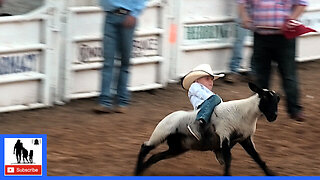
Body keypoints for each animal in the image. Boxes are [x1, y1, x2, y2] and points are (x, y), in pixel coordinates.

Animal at [135, 83, 280, 176]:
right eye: (265, 97)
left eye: (277, 99)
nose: (274, 116)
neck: (246, 113)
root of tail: (168, 116)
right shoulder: (224, 135)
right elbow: (228, 161)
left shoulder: (245, 138)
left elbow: (258, 158)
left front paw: (271, 174)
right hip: (161, 133)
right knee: (145, 147)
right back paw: (137, 171)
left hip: (177, 147)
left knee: (155, 157)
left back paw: (142, 170)